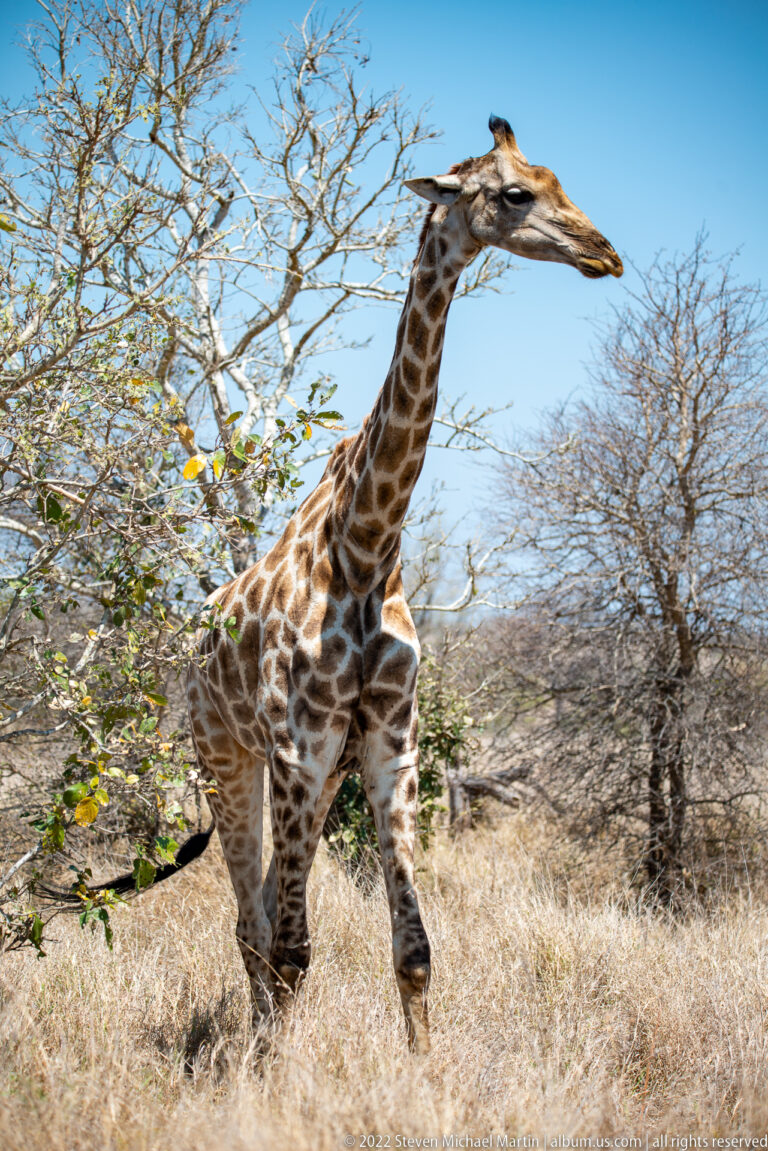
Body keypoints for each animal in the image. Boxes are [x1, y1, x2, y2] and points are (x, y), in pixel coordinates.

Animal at [186, 115, 623, 1054]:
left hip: (314, 776)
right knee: (251, 922)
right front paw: (277, 1075)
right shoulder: (299, 746)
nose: (604, 253)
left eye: (555, 178)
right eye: (514, 194)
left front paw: (422, 1071)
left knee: (260, 915)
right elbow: (295, 947)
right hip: (226, 757)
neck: (366, 543)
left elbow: (414, 950)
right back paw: (255, 1047)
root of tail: (192, 640)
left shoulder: (391, 743)